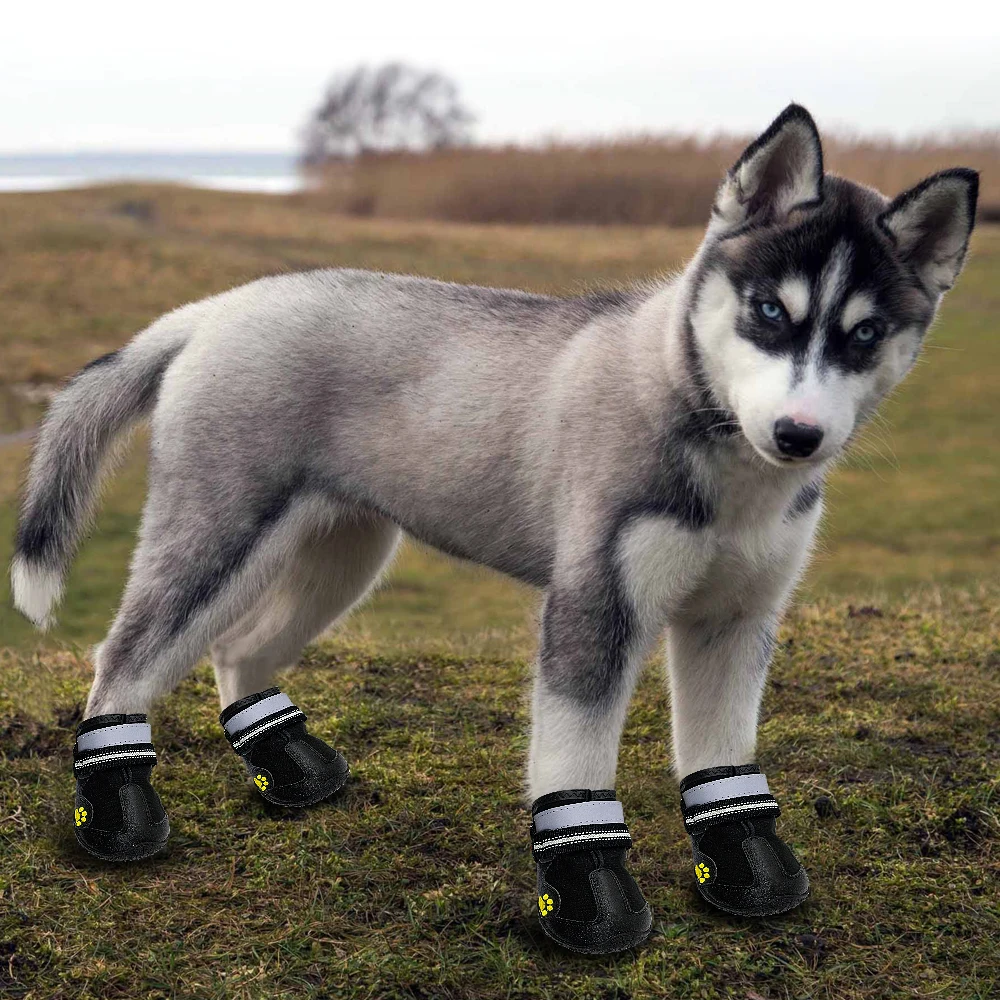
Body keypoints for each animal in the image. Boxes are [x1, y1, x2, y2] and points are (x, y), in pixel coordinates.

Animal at [9, 105, 976, 956]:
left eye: (866, 333)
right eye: (769, 312)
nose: (798, 436)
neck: (708, 432)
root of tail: (215, 308)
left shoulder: (737, 619)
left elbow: (722, 758)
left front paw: (744, 870)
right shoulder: (594, 606)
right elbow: (574, 761)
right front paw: (590, 904)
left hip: (346, 554)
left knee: (239, 647)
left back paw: (288, 768)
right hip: (219, 533)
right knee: (122, 657)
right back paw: (117, 814)